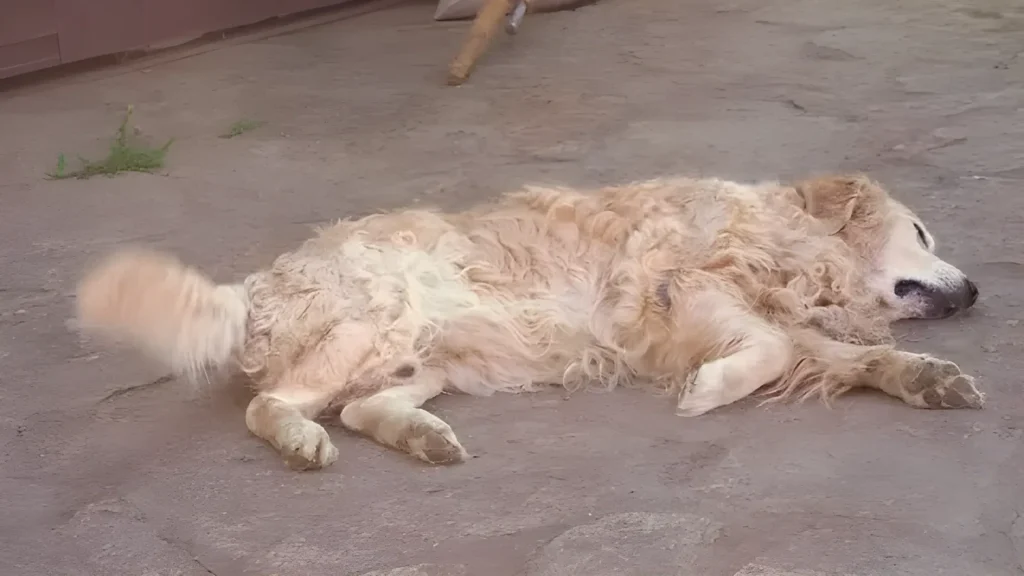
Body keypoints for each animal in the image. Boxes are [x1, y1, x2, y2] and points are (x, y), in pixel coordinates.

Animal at [75, 172, 978, 469]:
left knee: (365, 410)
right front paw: (712, 389)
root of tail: (259, 281)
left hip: (423, 356)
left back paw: (422, 439)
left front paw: (924, 378)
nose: (973, 291)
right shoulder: (681, 291)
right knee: (274, 407)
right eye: (924, 231)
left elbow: (833, 354)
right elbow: (766, 350)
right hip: (379, 320)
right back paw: (303, 442)